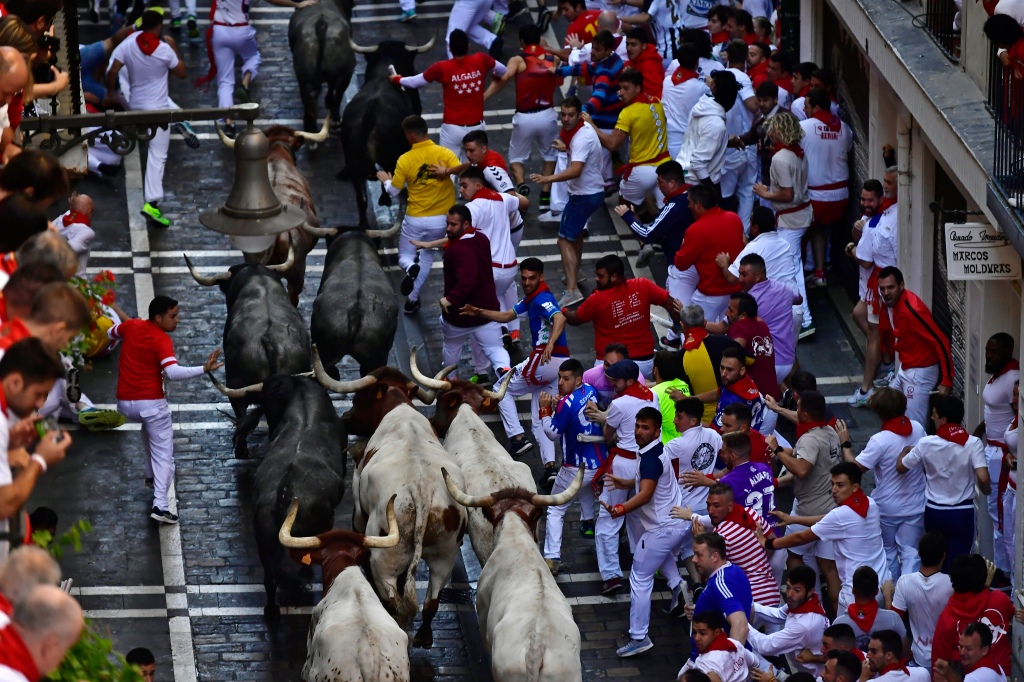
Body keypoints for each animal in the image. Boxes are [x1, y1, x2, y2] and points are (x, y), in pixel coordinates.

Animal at [309, 348, 466, 647]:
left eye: (358, 398)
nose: (345, 418)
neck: (399, 412)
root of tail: (422, 492)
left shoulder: (359, 513)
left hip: (384, 559)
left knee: (393, 600)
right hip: (445, 555)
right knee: (431, 601)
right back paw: (423, 637)